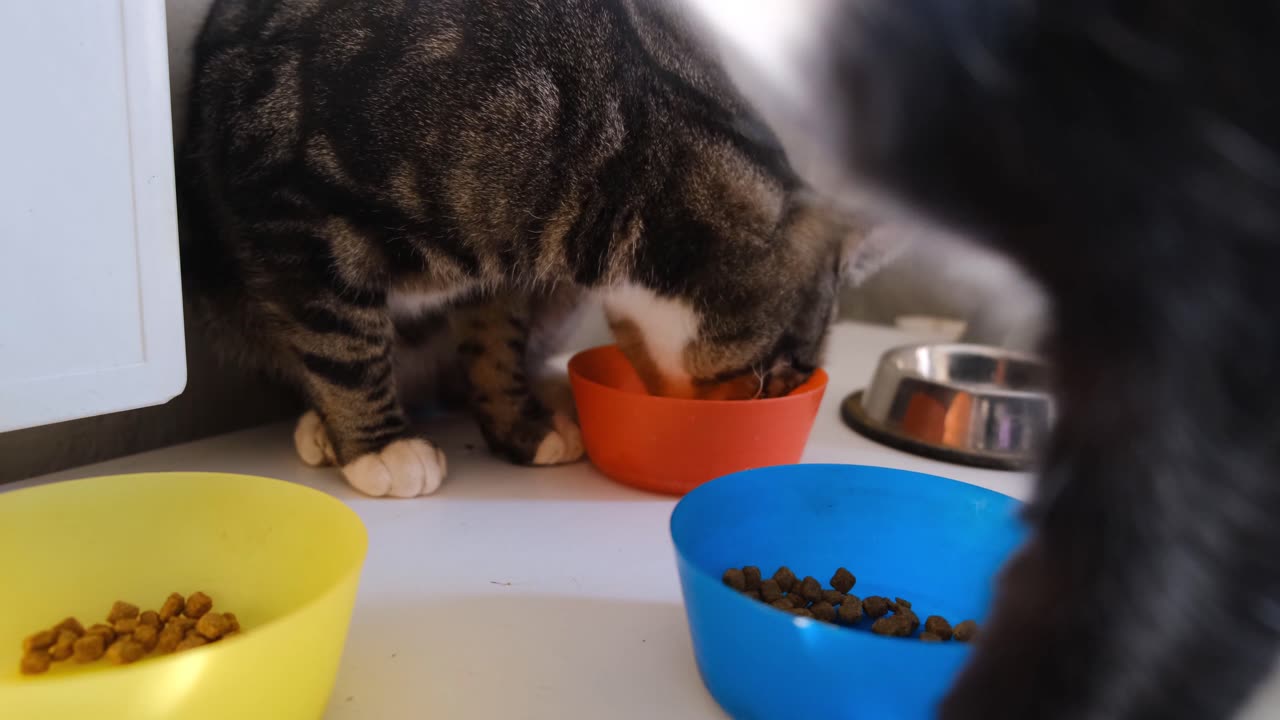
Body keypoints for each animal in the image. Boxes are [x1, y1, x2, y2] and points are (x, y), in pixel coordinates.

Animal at [183, 0, 880, 497]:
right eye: (773, 378)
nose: (773, 397)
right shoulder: (289, 207)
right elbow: (344, 343)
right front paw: (379, 446)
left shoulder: (507, 274)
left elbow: (496, 345)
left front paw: (522, 425)